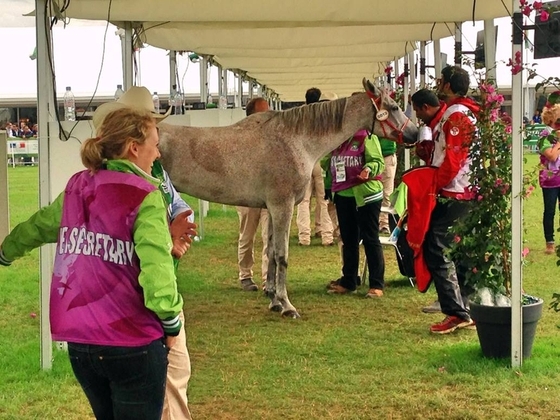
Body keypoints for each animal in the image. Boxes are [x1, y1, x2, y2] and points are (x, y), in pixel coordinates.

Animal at [158, 79, 416, 318]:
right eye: (394, 106)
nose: (413, 132)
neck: (295, 141)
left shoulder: (272, 209)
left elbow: (272, 253)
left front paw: (274, 300)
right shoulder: (283, 206)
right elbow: (282, 256)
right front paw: (287, 306)